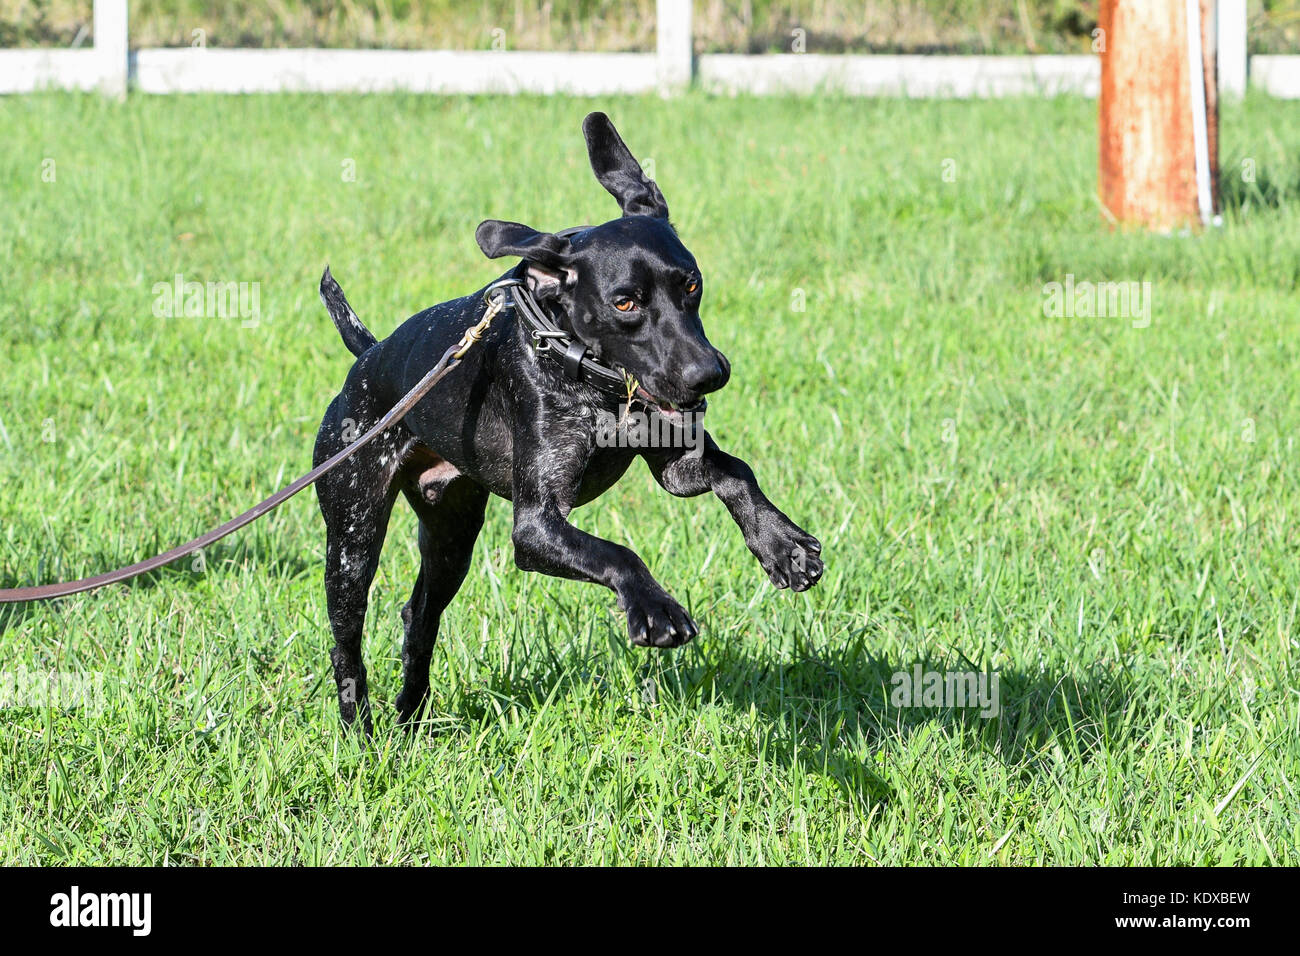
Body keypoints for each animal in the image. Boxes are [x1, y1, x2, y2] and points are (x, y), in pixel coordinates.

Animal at [314, 111, 821, 728]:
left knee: (420, 618)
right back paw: (360, 728)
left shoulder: (678, 466)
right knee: (347, 644)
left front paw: (782, 545)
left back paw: (409, 716)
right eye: (625, 303)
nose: (710, 374)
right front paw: (654, 607)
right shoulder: (537, 526)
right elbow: (617, 553)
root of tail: (366, 358)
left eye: (692, 284)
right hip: (353, 542)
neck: (595, 382)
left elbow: (737, 472)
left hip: (451, 538)